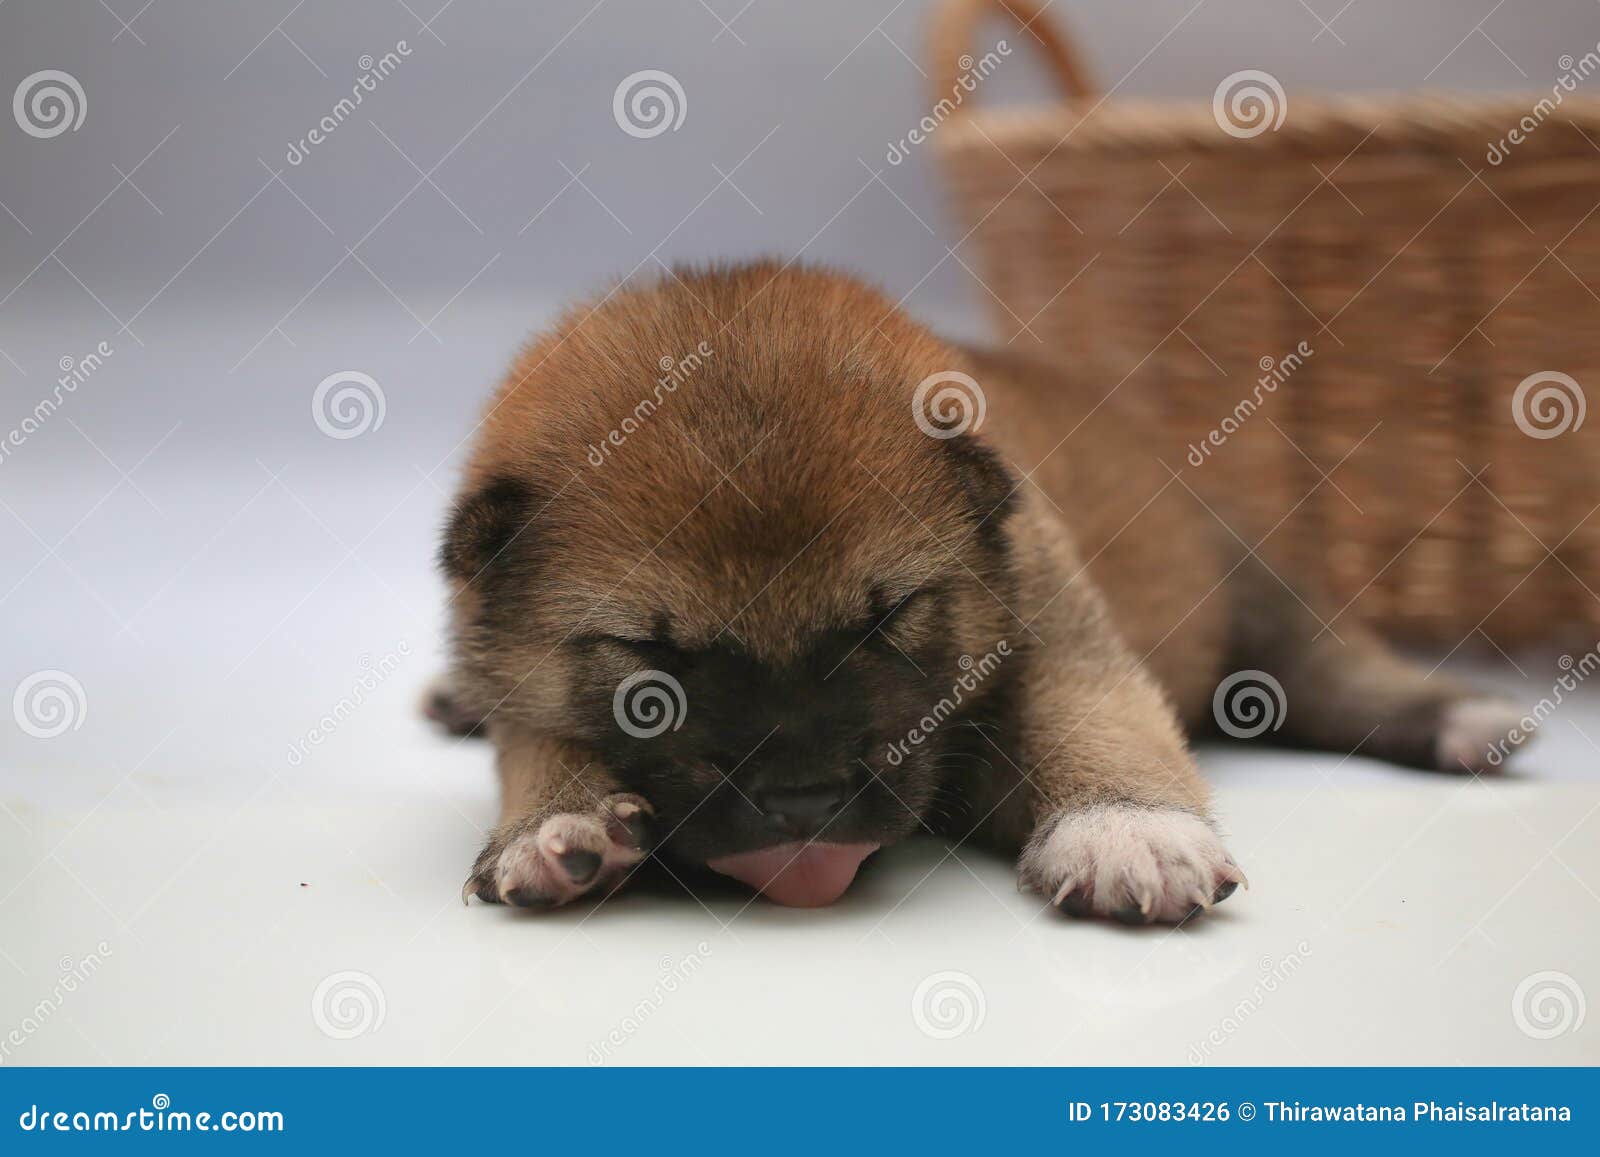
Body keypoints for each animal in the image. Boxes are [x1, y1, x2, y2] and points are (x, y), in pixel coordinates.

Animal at [432, 260, 1529, 921]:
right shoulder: (516, 676)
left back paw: (1460, 718)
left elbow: (1093, 713)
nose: (804, 802)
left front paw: (1126, 824)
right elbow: (532, 737)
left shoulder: (1059, 627)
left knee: (1332, 670)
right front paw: (555, 822)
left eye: (889, 615)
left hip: (1250, 590)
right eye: (652, 658)